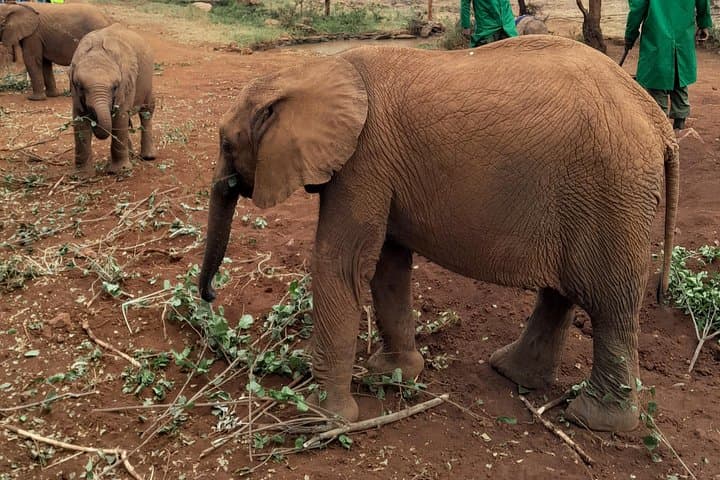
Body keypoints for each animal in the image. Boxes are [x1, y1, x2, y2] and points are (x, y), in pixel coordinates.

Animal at [69, 23, 156, 174]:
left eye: (115, 87)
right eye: (80, 86)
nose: (95, 120)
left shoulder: (127, 82)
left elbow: (120, 117)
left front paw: (120, 171)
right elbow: (80, 120)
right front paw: (82, 176)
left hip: (147, 79)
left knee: (146, 111)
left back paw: (148, 157)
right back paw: (131, 156)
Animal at [198, 35, 679, 432]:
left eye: (226, 145)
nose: (210, 296)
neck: (312, 71)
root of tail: (657, 120)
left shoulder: (364, 159)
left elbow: (342, 265)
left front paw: (318, 420)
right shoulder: (381, 168)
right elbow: (387, 265)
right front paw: (393, 374)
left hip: (613, 192)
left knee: (611, 305)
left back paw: (593, 421)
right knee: (563, 293)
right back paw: (511, 373)